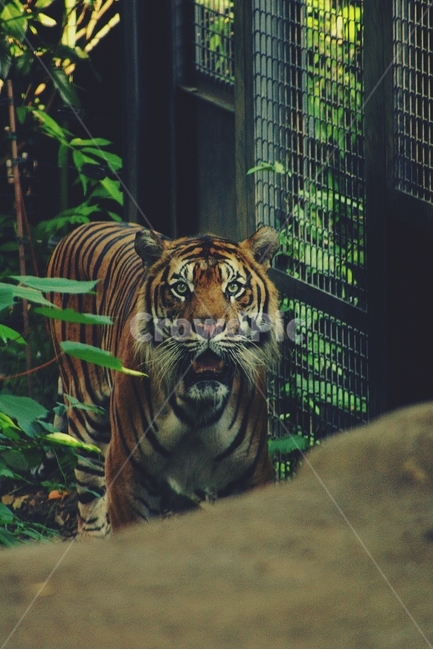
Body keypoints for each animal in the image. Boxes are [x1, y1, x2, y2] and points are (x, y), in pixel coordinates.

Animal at [47, 221, 282, 537]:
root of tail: (77, 229)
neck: (197, 406)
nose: (209, 327)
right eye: (181, 288)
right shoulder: (128, 469)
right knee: (90, 504)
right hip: (88, 419)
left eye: (233, 287)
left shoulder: (252, 471)